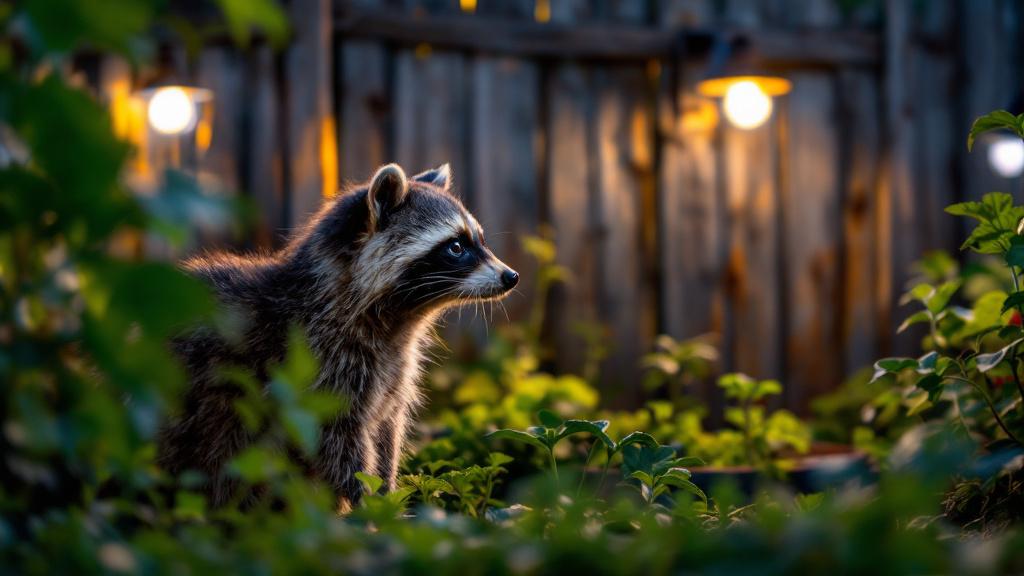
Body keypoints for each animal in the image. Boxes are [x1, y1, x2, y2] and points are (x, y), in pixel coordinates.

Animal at [158, 163, 518, 509]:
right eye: (456, 246)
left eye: (481, 240)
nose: (511, 276)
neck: (397, 323)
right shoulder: (317, 362)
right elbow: (337, 443)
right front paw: (366, 506)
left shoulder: (391, 372)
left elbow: (386, 432)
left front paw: (386, 497)